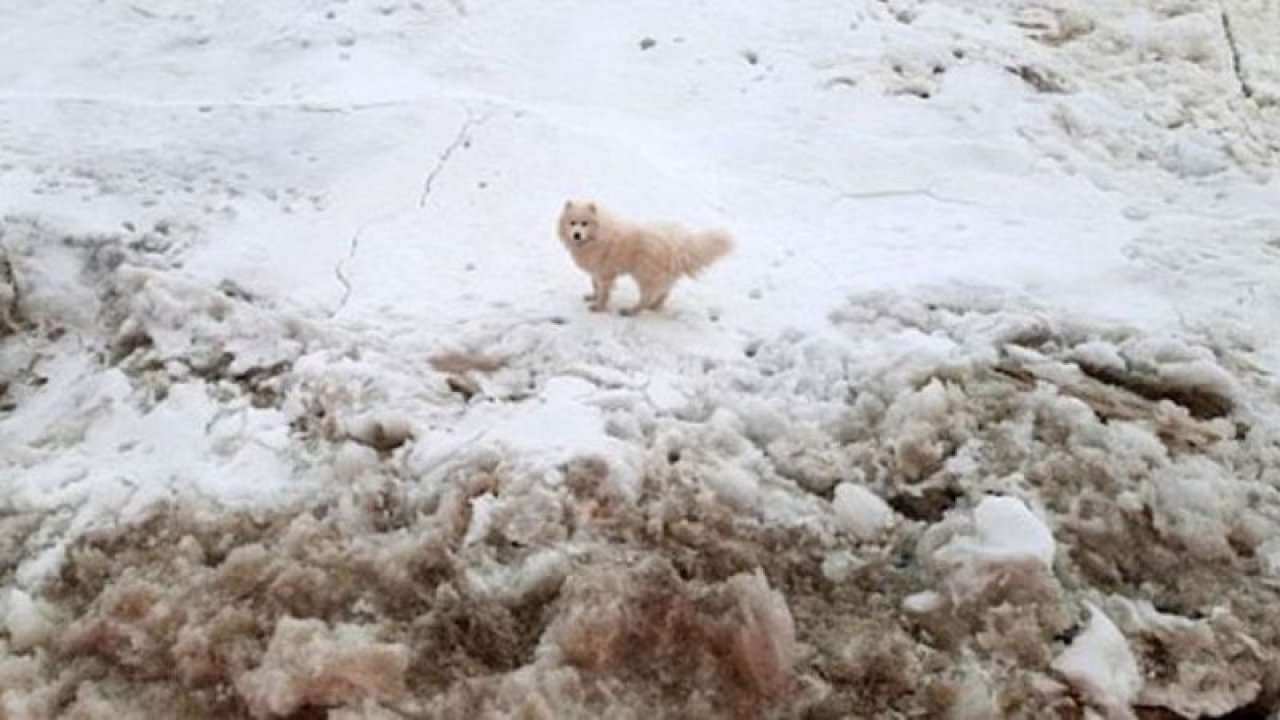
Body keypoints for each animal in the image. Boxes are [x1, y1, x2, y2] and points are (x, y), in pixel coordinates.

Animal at [558, 199, 737, 315]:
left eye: (584, 223)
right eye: (572, 222)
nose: (576, 234)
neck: (599, 235)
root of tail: (679, 244)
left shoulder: (605, 271)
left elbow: (603, 291)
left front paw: (598, 307)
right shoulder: (598, 270)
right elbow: (595, 285)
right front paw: (592, 297)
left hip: (644, 274)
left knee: (647, 296)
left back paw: (632, 310)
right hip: (659, 275)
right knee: (663, 292)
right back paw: (655, 307)